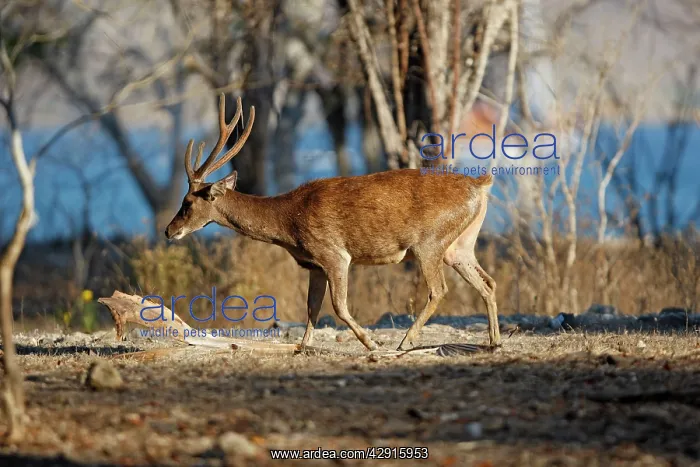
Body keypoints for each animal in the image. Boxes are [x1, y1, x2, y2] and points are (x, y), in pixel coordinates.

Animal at [165, 93, 501, 352]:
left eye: (187, 203)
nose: (169, 230)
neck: (288, 222)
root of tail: (481, 185)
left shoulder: (333, 253)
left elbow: (338, 306)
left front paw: (370, 343)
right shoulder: (313, 264)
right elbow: (312, 308)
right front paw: (303, 346)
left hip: (430, 241)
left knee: (439, 289)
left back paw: (406, 341)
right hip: (459, 245)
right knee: (487, 281)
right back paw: (494, 340)